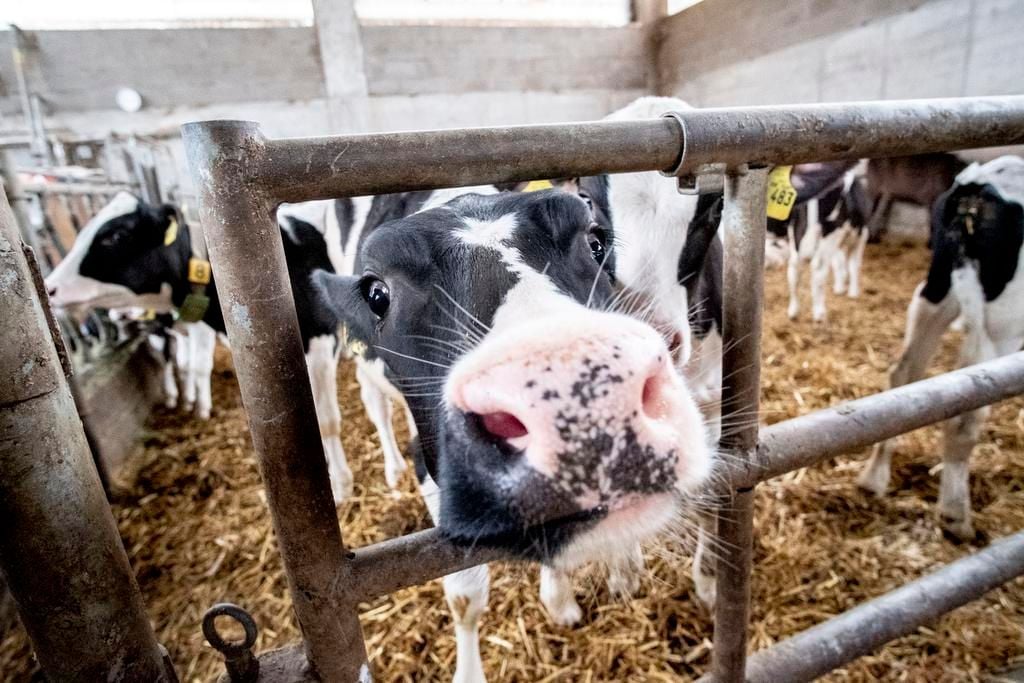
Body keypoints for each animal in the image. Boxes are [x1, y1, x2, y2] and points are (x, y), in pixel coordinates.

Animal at [856, 156, 1024, 540]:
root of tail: (976, 186)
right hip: (1002, 319)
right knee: (968, 408)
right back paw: (955, 515)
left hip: (935, 291)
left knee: (905, 376)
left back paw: (874, 479)